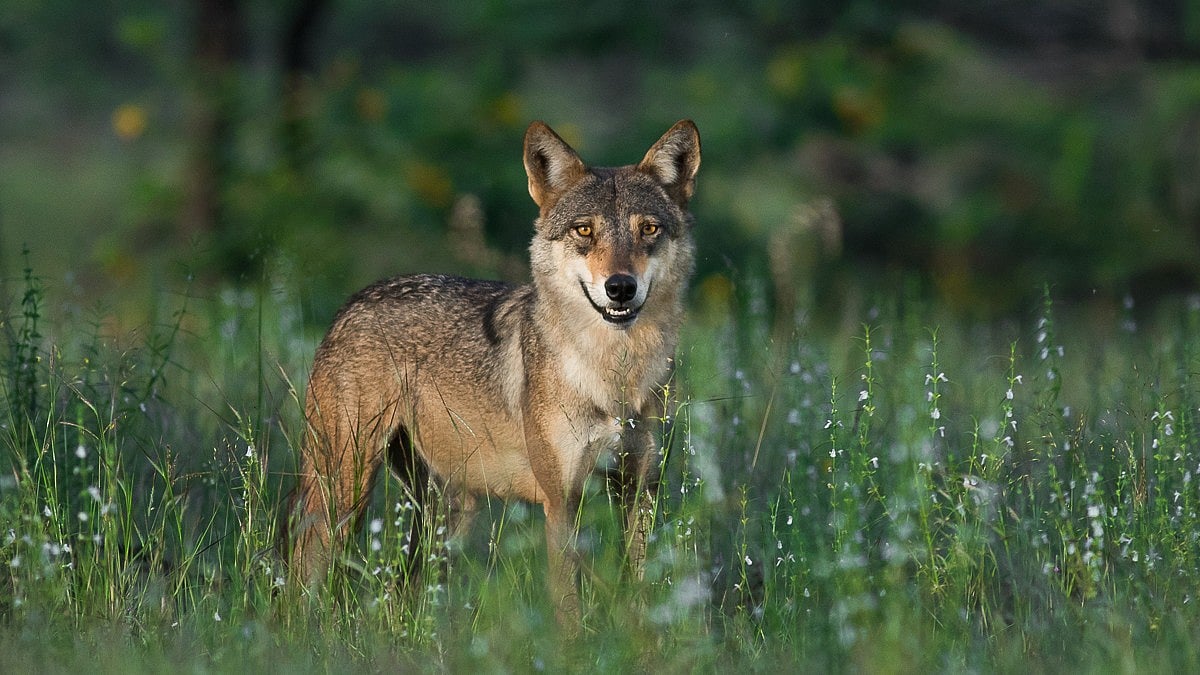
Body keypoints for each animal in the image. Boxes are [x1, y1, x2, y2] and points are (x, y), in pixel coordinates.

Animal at [287, 119, 701, 624]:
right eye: (584, 230)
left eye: (649, 229)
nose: (620, 287)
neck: (614, 376)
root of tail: (352, 302)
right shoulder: (561, 502)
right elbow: (569, 608)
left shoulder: (639, 490)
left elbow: (638, 590)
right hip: (343, 492)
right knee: (304, 571)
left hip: (447, 513)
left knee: (406, 590)